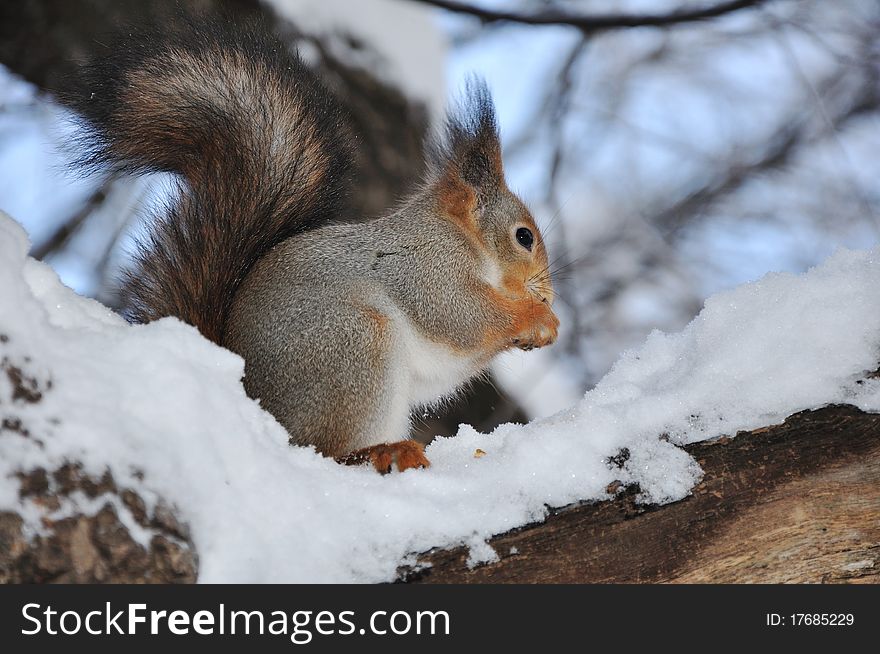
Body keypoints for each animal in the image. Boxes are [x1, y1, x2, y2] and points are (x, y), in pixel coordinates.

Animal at [72, 18, 560, 474]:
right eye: (524, 237)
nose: (549, 291)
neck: (461, 239)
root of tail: (254, 403)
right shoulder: (426, 268)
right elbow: (461, 316)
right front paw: (537, 317)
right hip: (354, 346)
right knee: (328, 450)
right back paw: (382, 451)